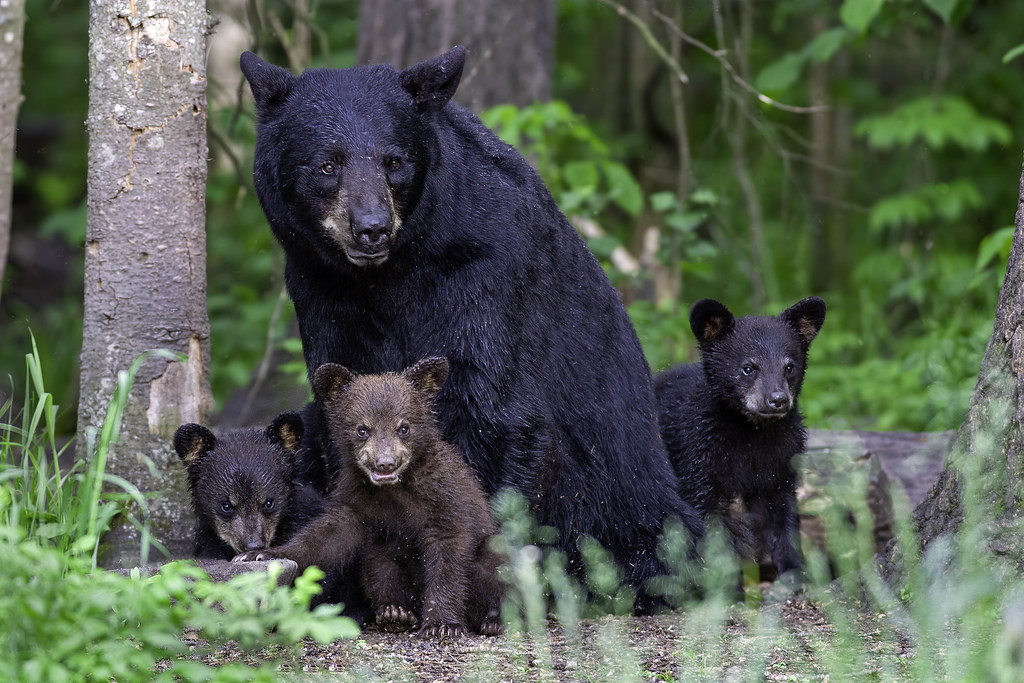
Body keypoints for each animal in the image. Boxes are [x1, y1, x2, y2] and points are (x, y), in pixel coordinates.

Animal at [235, 358, 505, 638]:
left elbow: (448, 555)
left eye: (404, 427)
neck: (394, 489)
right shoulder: (357, 500)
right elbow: (325, 537)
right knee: (378, 568)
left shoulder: (443, 497)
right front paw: (262, 555)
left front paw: (442, 624)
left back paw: (493, 621)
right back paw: (395, 612)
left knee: (494, 566)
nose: (385, 463)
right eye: (362, 429)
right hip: (381, 556)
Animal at [238, 45, 703, 610]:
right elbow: (340, 404)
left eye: (395, 161)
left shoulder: (483, 273)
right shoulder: (319, 290)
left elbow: (488, 406)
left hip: (622, 502)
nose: (371, 229)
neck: (388, 275)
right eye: (328, 164)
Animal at [653, 297, 826, 578]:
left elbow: (783, 510)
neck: (751, 431)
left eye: (789, 366)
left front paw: (793, 568)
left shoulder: (783, 456)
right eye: (748, 368)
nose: (777, 399)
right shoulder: (696, 454)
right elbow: (708, 519)